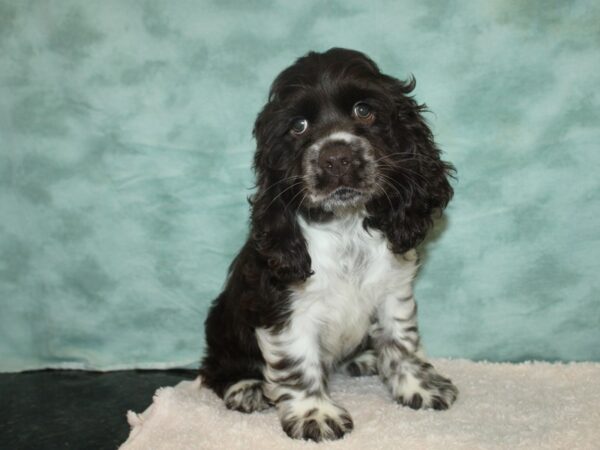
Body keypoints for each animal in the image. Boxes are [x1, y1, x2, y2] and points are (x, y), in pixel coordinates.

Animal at [199, 47, 458, 442]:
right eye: (298, 126)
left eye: (364, 110)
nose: (337, 158)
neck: (345, 225)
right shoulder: (284, 308)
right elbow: (298, 363)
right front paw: (315, 414)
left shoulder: (393, 290)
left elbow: (402, 341)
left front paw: (419, 388)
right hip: (223, 321)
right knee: (216, 367)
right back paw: (247, 388)